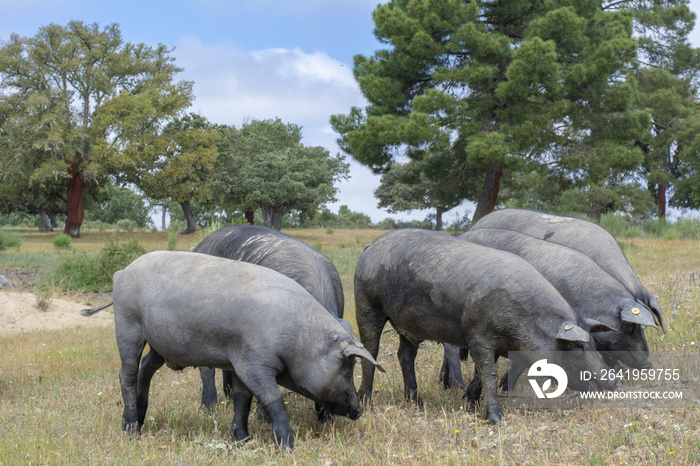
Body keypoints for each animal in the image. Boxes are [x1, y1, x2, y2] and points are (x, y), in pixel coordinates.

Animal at [98, 251, 380, 452]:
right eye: (348, 367)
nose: (359, 410)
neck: (298, 339)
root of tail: (121, 273)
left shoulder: (240, 362)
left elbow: (242, 398)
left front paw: (243, 439)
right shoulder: (253, 363)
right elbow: (273, 399)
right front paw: (288, 448)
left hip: (159, 344)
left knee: (145, 369)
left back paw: (141, 418)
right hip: (127, 325)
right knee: (127, 374)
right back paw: (131, 429)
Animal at [352, 228, 616, 424]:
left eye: (593, 344)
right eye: (577, 346)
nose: (613, 381)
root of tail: (370, 247)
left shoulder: (493, 343)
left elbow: (480, 374)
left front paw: (468, 403)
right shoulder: (478, 334)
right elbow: (489, 373)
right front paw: (496, 419)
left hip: (408, 324)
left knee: (405, 355)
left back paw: (416, 403)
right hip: (366, 302)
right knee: (371, 351)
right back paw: (367, 403)